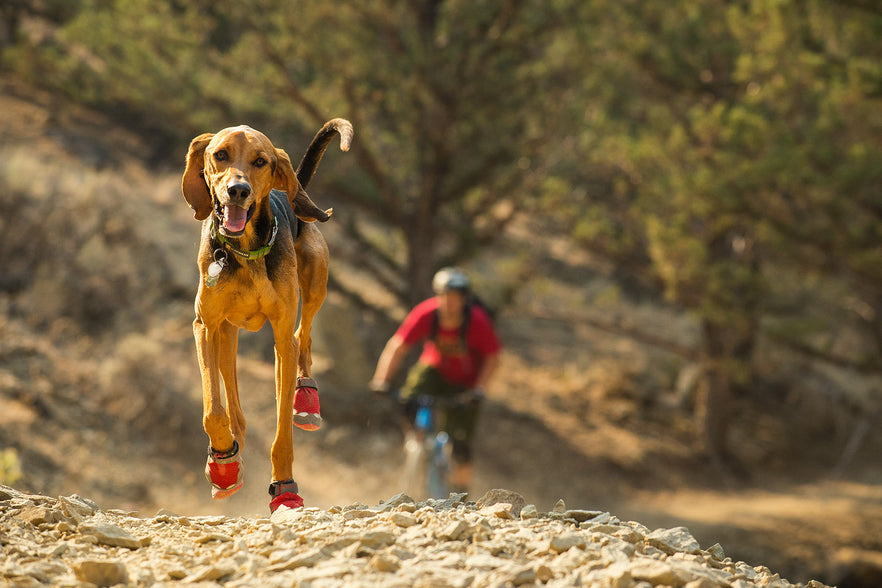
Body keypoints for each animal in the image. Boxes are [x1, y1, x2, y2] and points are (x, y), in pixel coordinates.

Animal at [180, 118, 350, 510]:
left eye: (261, 161)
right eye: (220, 154)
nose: (237, 191)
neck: (244, 252)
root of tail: (292, 191)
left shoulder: (281, 337)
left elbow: (282, 431)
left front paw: (285, 487)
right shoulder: (204, 326)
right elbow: (214, 411)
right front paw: (223, 462)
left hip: (315, 284)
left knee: (305, 338)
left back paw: (306, 397)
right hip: (226, 333)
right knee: (234, 405)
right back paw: (229, 454)